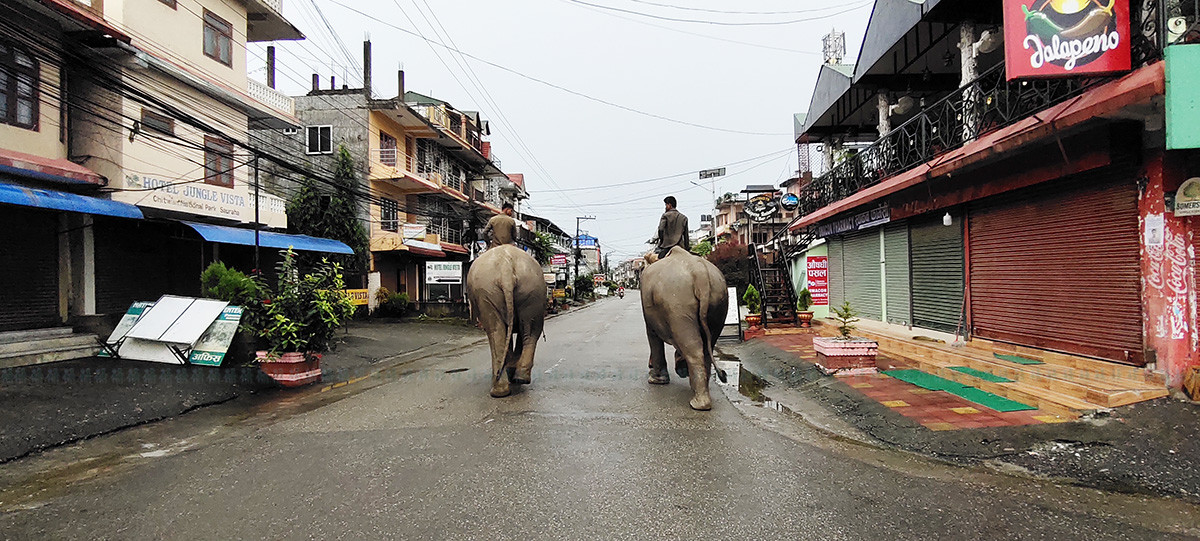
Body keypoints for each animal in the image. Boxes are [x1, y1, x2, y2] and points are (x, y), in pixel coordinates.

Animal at [463, 245, 549, 398]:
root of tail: (506, 267)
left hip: (486, 291)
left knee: (495, 331)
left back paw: (498, 390)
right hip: (532, 289)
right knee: (530, 330)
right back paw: (520, 379)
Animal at [638, 247, 729, 410]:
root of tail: (700, 272)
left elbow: (652, 335)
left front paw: (656, 380)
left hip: (678, 304)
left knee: (693, 348)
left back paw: (699, 404)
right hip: (718, 301)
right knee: (708, 346)